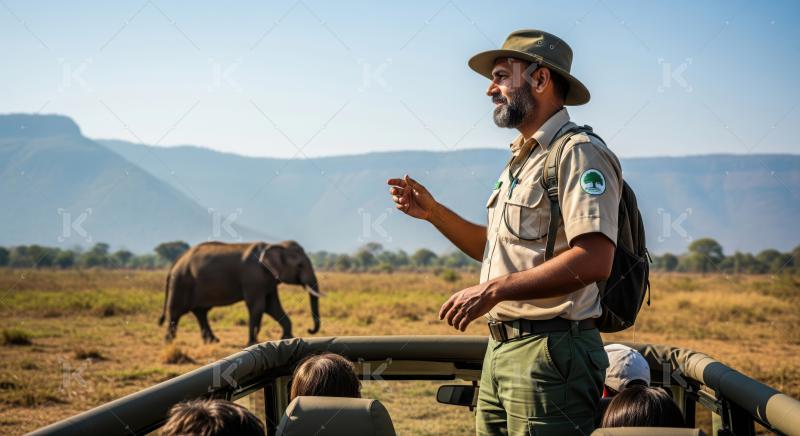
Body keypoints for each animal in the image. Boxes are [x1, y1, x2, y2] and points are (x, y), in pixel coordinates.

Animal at [157, 240, 322, 346]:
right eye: (300, 265)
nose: (310, 330)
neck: (274, 245)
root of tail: (175, 263)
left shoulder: (268, 279)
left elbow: (272, 307)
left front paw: (286, 338)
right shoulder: (253, 277)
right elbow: (258, 306)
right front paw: (253, 342)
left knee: (200, 311)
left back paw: (212, 340)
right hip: (181, 282)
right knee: (176, 311)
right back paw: (169, 341)